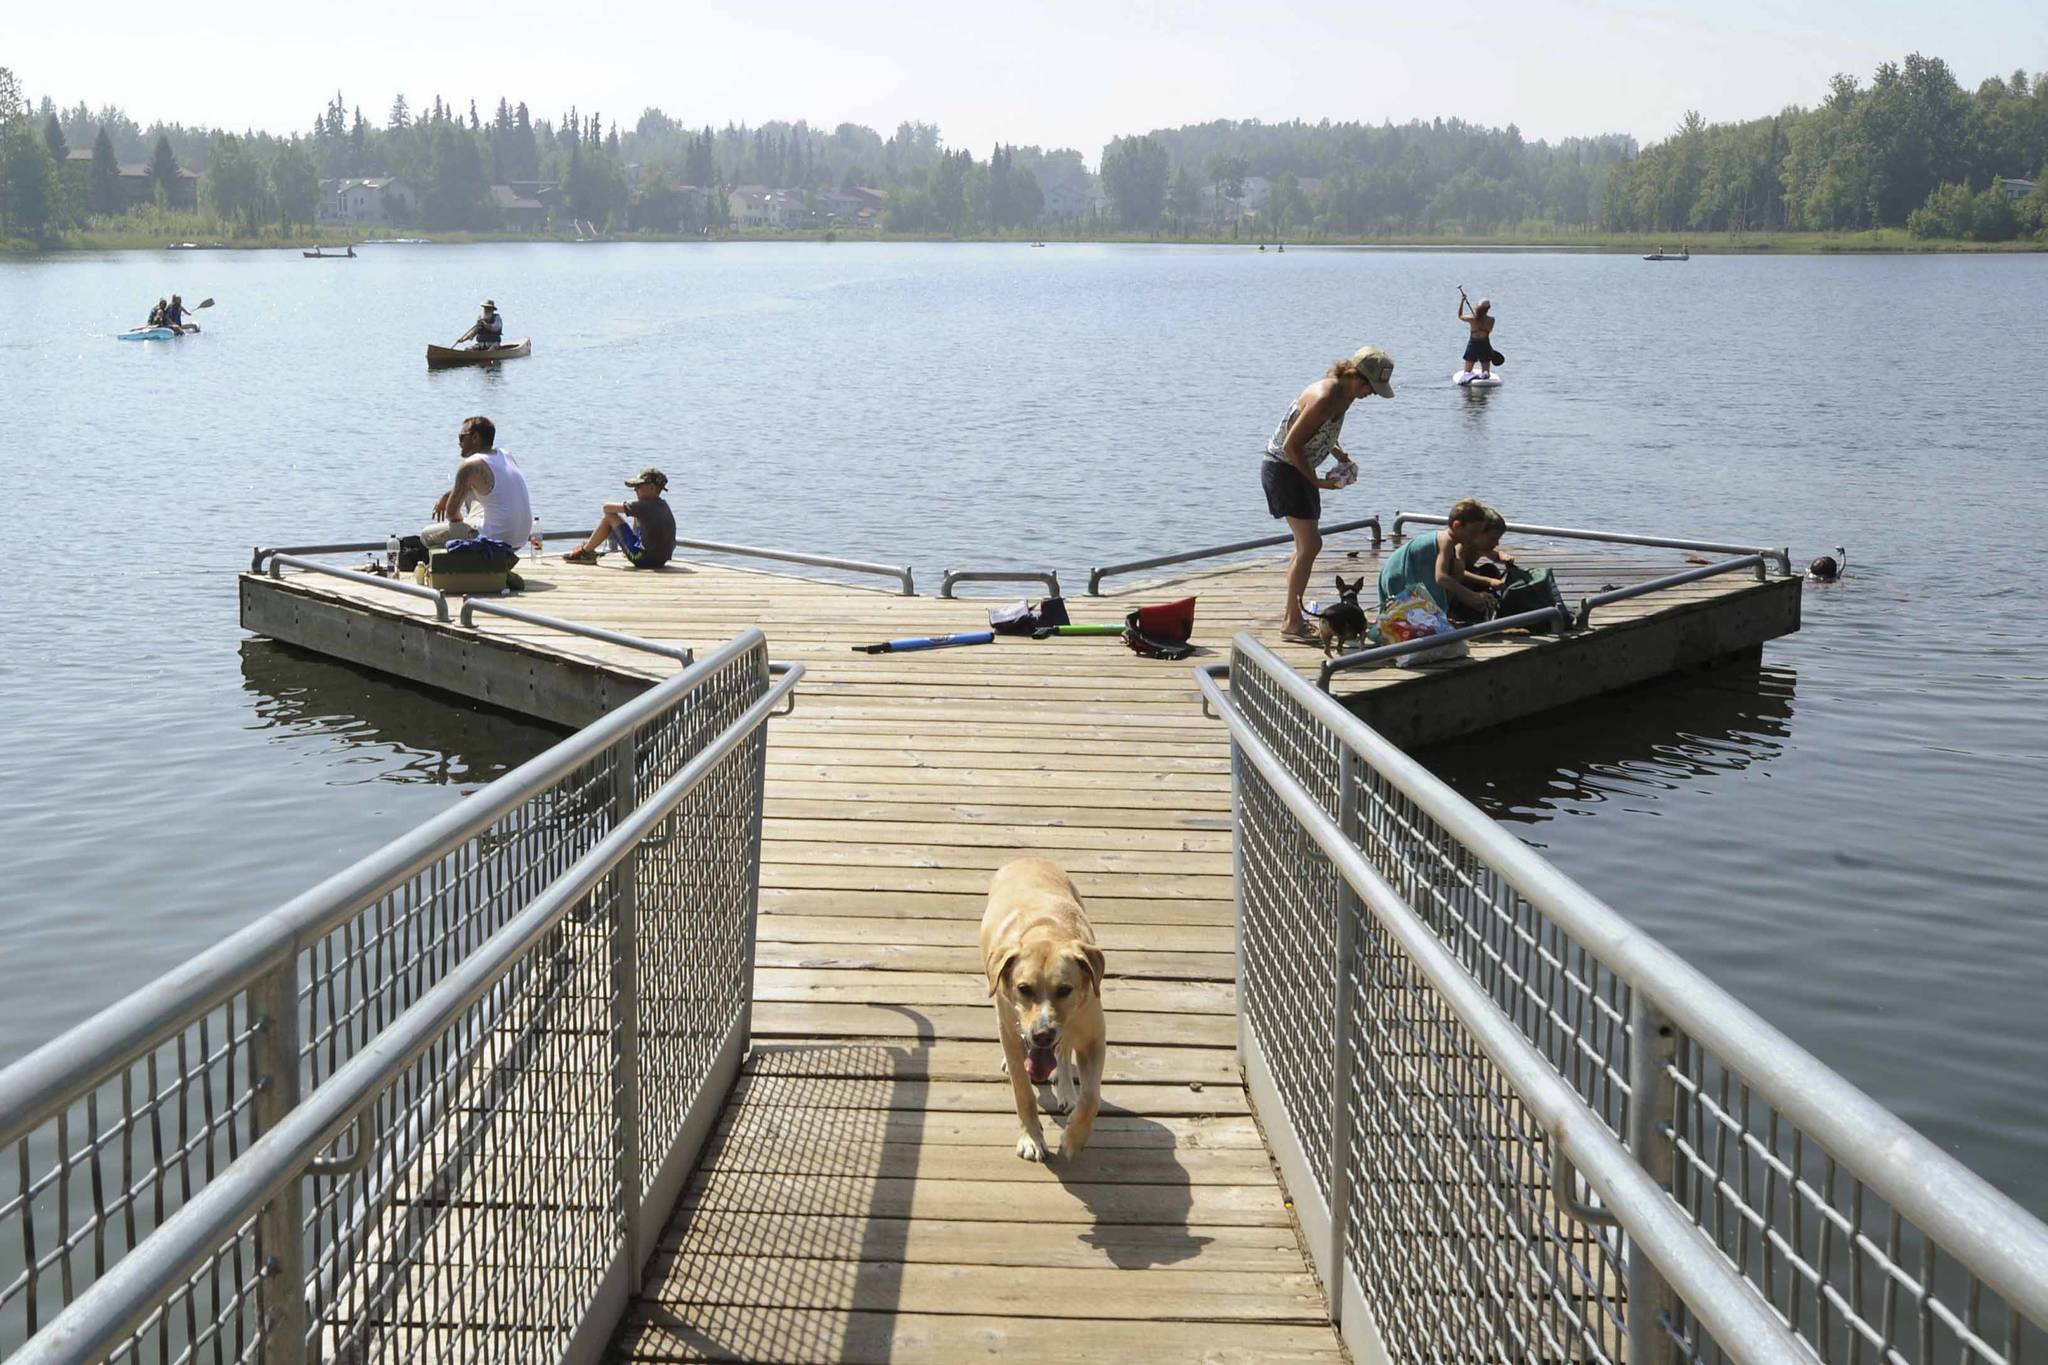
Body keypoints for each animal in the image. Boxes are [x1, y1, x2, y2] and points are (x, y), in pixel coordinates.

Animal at [978, 855, 1105, 1162]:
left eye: (1065, 989)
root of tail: (1029, 857)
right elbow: (1023, 1092)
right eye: (1024, 989)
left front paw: (1073, 1138)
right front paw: (1031, 1139)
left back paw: (1066, 1089)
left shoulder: (1094, 1036)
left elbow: (1091, 1097)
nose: (1042, 1035)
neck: (1047, 930)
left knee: (1066, 1050)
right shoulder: (1012, 1032)